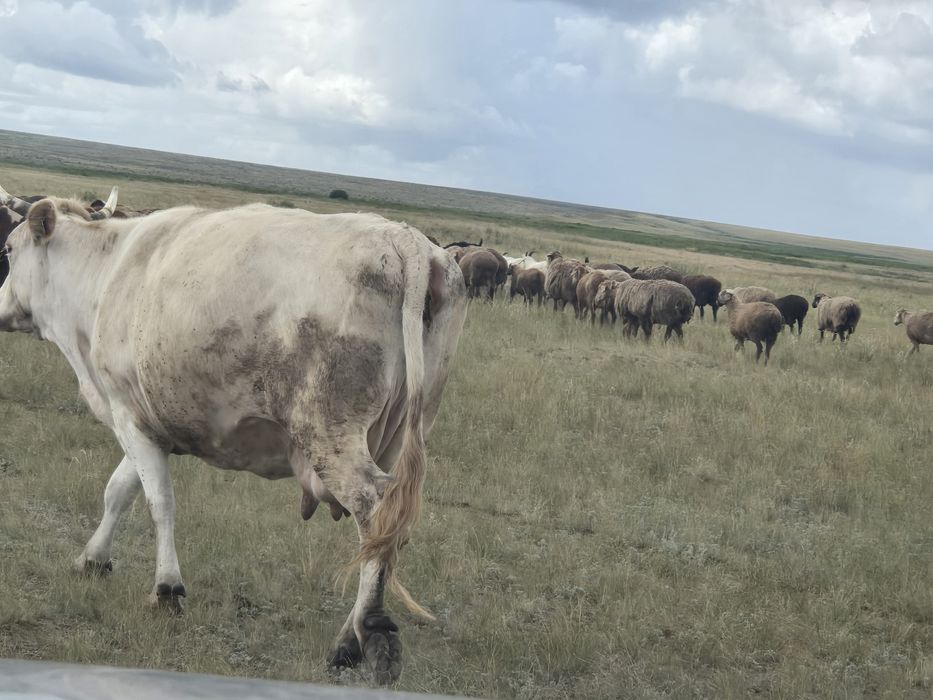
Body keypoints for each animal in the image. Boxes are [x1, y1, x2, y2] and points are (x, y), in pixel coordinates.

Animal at [0, 186, 468, 684]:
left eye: (7, 249)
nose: (0, 306)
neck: (105, 273)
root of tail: (406, 241)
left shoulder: (128, 414)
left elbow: (158, 502)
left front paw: (166, 588)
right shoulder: (149, 422)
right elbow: (119, 490)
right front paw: (94, 558)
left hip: (332, 437)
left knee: (374, 513)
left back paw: (369, 633)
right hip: (401, 433)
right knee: (386, 533)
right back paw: (348, 638)